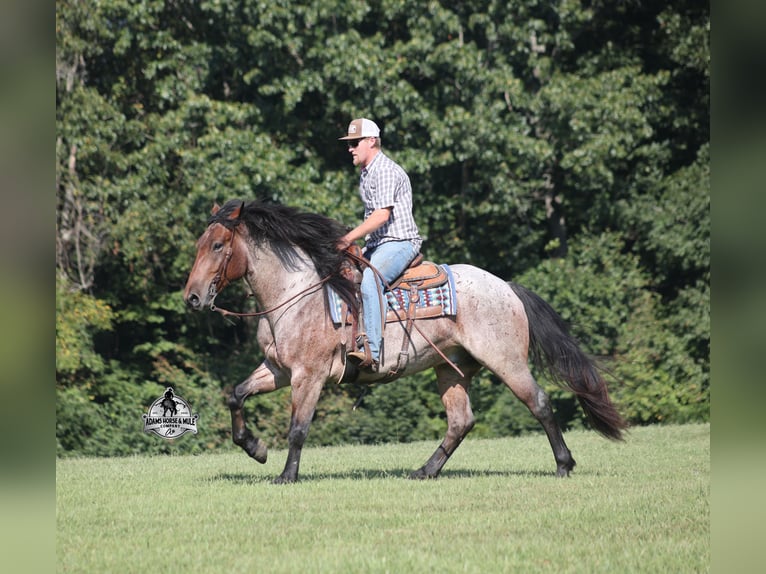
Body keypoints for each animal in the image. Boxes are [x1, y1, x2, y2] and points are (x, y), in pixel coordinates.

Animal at [183, 199, 626, 483]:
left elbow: (298, 428)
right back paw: (424, 471)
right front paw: (254, 448)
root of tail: (507, 287)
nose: (192, 297)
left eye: (218, 245)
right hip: (451, 369)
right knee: (460, 421)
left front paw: (286, 476)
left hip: (506, 361)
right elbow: (236, 395)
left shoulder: (308, 376)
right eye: (199, 245)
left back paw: (564, 465)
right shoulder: (277, 370)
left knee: (539, 403)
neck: (296, 293)